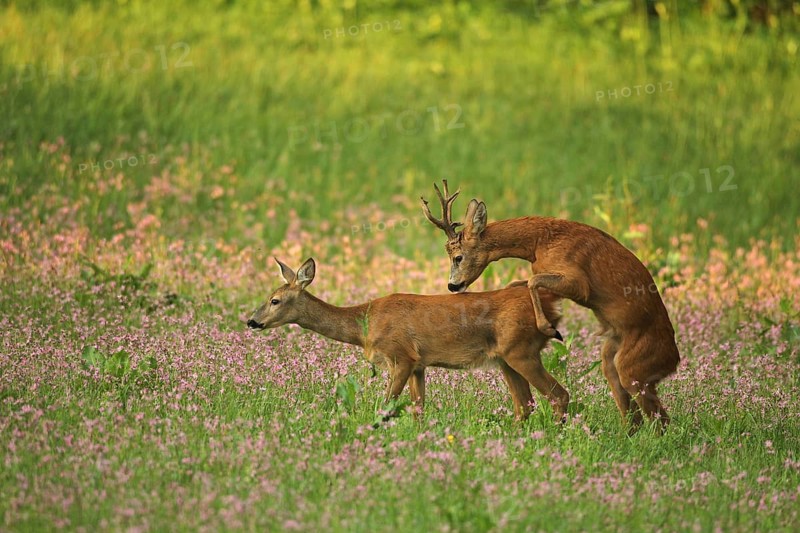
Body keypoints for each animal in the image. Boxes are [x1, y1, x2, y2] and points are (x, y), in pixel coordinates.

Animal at [247, 257, 569, 423]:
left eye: (275, 300)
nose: (251, 321)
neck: (365, 324)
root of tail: (550, 303)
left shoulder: (400, 356)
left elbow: (387, 405)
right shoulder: (419, 364)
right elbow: (418, 410)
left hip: (521, 351)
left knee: (559, 394)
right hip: (505, 359)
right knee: (525, 404)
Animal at [421, 181, 680, 432]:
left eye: (458, 257)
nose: (452, 285)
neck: (539, 243)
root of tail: (675, 358)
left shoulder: (577, 280)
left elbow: (533, 281)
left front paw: (549, 329)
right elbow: (521, 281)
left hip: (636, 368)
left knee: (661, 420)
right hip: (613, 358)